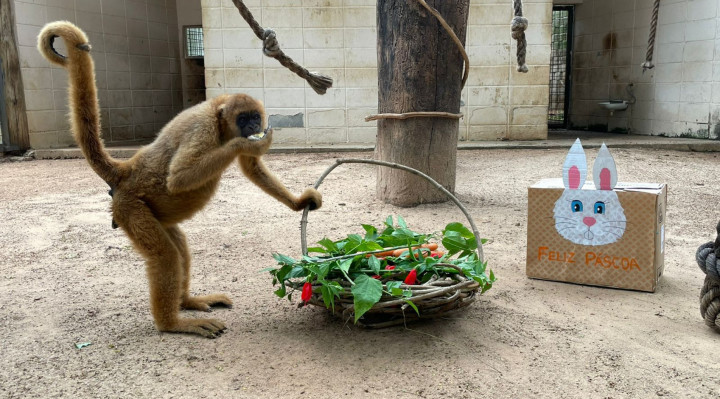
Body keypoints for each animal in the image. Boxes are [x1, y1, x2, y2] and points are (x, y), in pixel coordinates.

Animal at [38, 21, 322, 340]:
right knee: (165, 256)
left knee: (179, 245)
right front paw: (246, 145)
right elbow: (179, 179)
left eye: (254, 117)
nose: (252, 127)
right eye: (243, 119)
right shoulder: (203, 129)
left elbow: (252, 169)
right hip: (130, 207)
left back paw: (186, 302)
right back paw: (172, 323)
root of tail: (127, 170)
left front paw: (300, 202)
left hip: (149, 214)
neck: (218, 115)